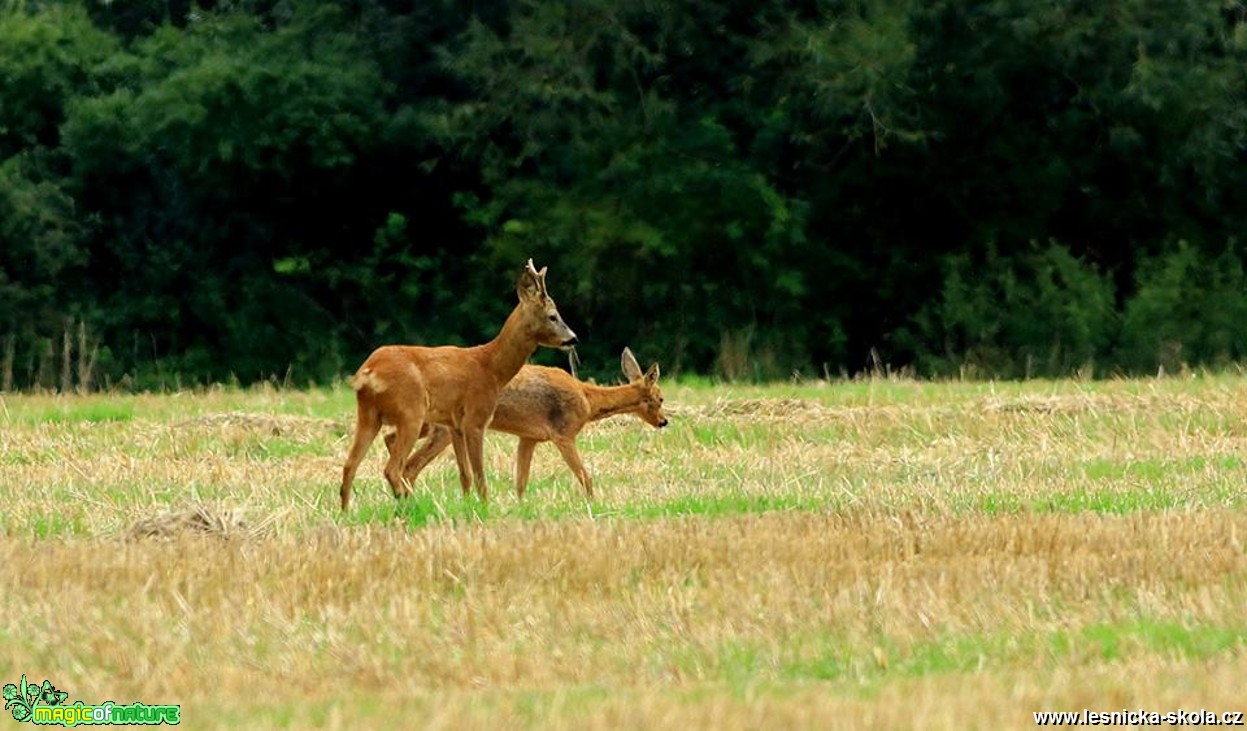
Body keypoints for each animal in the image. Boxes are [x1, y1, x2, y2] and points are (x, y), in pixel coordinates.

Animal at [339, 260, 576, 506]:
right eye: (553, 316)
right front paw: (485, 507)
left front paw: (468, 506)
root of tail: (368, 371)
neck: (492, 368)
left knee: (349, 466)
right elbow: (480, 477)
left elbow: (466, 475)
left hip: (368, 414)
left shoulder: (454, 424)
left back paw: (348, 511)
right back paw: (409, 504)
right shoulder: (475, 419)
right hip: (410, 412)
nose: (573, 338)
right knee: (392, 469)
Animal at [384, 346, 668, 493]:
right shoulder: (564, 433)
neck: (588, 399)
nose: (664, 421)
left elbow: (521, 482)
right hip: (442, 428)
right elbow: (585, 477)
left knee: (392, 440)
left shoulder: (529, 437)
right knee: (410, 465)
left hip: (430, 424)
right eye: (661, 398)